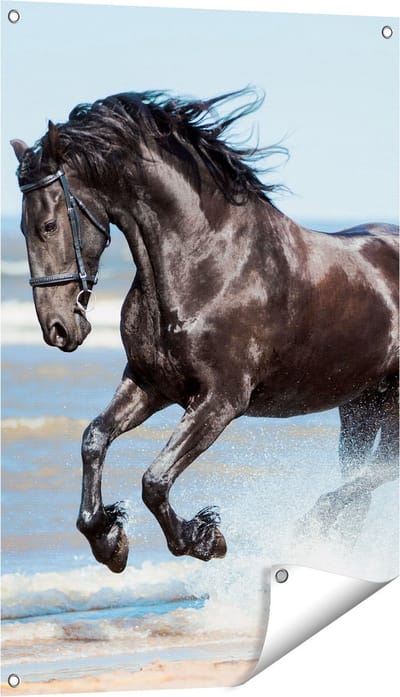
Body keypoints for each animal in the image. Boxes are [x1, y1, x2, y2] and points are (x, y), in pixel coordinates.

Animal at [11, 89, 399, 573]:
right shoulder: (149, 384)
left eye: (48, 225)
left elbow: (155, 479)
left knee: (380, 470)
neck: (207, 262)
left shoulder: (220, 401)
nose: (59, 328)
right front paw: (108, 540)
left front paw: (204, 537)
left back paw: (310, 524)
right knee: (363, 475)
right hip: (360, 404)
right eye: (22, 227)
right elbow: (94, 439)